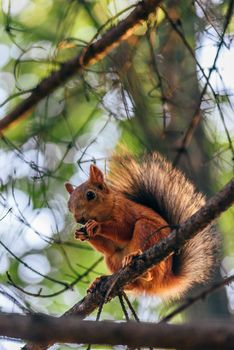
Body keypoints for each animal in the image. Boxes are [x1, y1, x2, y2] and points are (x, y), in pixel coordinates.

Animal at [65, 154, 218, 300]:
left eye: (90, 195)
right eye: (69, 205)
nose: (79, 219)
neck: (106, 212)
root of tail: (165, 279)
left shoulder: (125, 211)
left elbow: (123, 230)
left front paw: (96, 226)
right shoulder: (109, 246)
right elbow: (108, 248)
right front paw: (83, 234)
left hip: (147, 231)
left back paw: (137, 262)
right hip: (112, 259)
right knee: (132, 283)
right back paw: (101, 281)